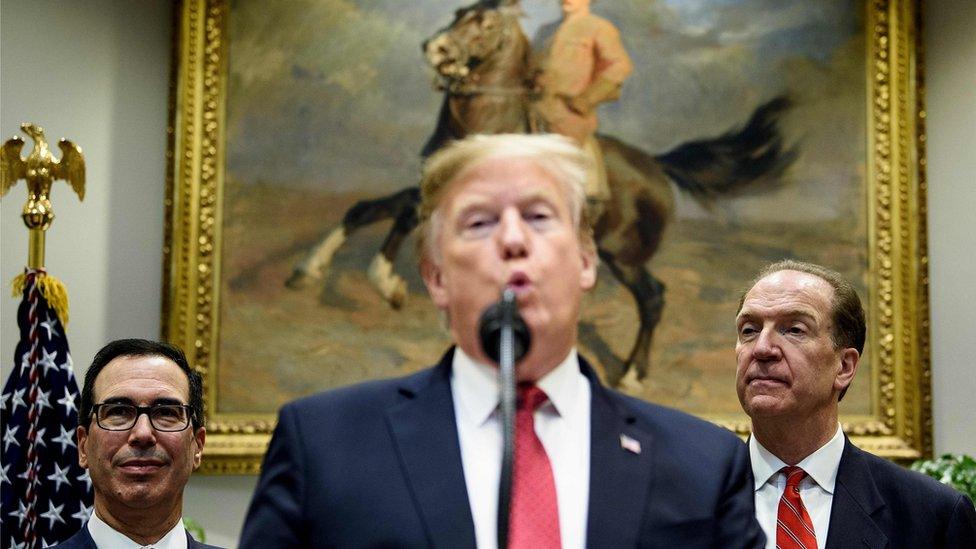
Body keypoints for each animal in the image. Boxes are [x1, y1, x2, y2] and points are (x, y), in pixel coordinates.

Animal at [284, 0, 792, 388]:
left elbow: (406, 213)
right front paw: (312, 267)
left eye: (486, 23)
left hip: (621, 254)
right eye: (457, 13)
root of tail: (656, 164)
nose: (435, 48)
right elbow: (367, 208)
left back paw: (631, 374)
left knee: (652, 298)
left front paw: (384, 279)